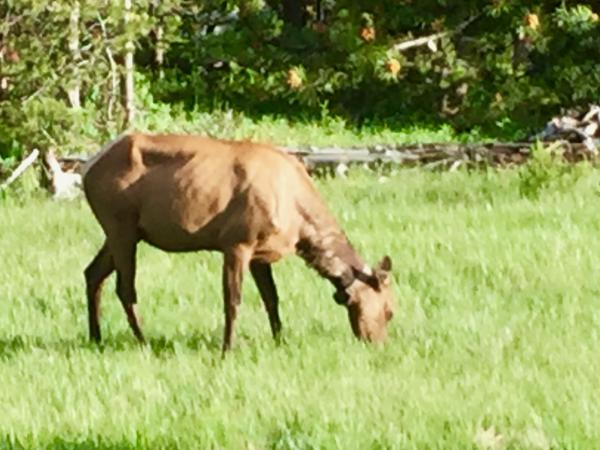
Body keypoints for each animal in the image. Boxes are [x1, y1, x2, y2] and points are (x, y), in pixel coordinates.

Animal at [82, 132, 396, 354]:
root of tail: (86, 169)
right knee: (125, 288)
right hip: (120, 224)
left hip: (124, 231)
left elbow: (272, 298)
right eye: (390, 311)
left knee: (92, 273)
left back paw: (96, 338)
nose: (377, 344)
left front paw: (280, 340)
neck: (299, 227)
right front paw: (227, 350)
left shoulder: (261, 253)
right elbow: (233, 300)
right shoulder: (237, 242)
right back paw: (143, 341)